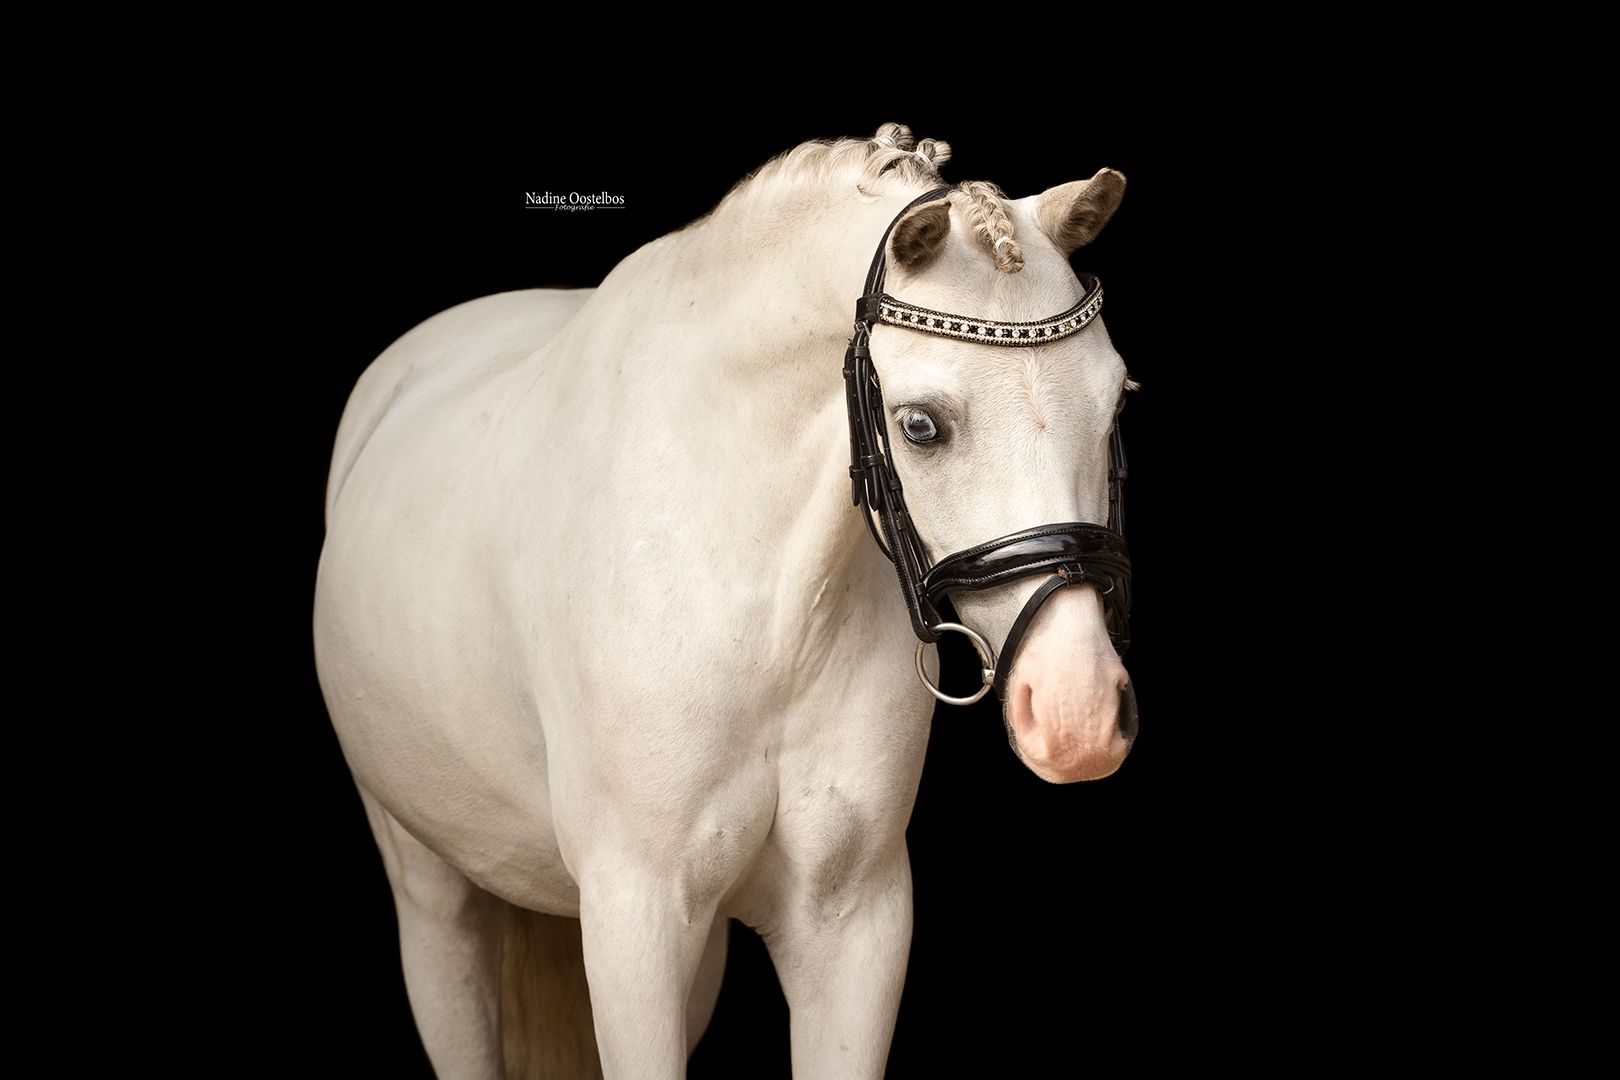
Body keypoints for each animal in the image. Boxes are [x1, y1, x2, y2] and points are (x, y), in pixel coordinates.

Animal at [313, 122, 1137, 1079]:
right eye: (922, 425)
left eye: (1115, 401)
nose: (1078, 713)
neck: (767, 614)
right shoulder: (634, 921)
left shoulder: (854, 925)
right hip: (432, 889)